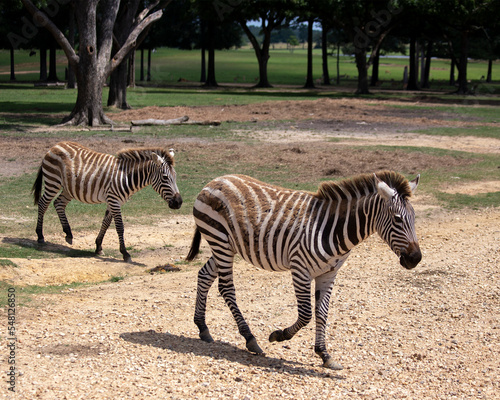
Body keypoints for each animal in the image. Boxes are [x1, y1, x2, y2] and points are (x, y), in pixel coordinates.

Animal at [32, 141, 183, 262]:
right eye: (165, 177)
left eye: (175, 176)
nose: (179, 202)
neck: (127, 177)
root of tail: (56, 145)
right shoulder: (114, 200)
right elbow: (120, 227)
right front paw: (125, 253)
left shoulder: (114, 201)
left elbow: (106, 222)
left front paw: (98, 246)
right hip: (53, 181)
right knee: (43, 204)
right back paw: (40, 236)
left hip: (68, 189)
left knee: (58, 203)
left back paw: (68, 234)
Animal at [186, 170, 420, 370]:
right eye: (397, 219)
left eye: (414, 218)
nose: (416, 259)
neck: (332, 229)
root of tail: (215, 181)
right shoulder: (300, 268)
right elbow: (307, 313)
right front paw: (279, 335)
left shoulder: (329, 273)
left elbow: (322, 313)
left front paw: (324, 354)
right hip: (220, 241)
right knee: (226, 288)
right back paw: (250, 339)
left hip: (225, 246)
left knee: (204, 275)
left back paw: (202, 328)